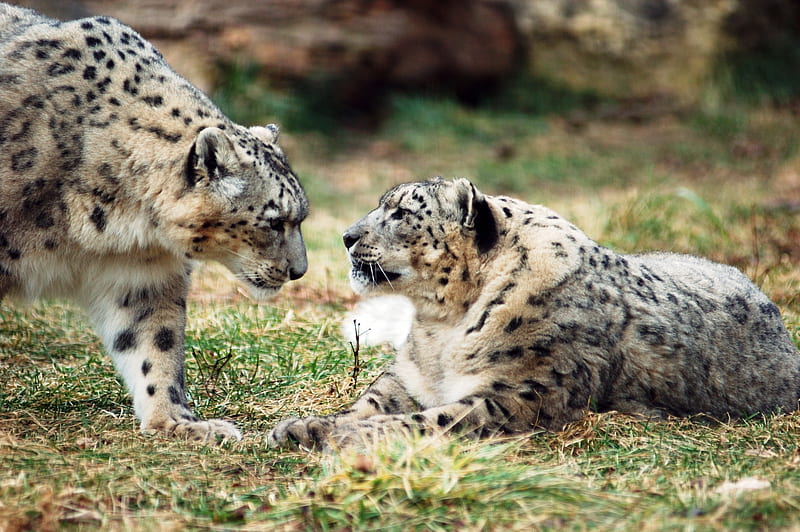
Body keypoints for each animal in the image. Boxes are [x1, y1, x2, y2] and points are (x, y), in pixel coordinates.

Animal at [0, 4, 310, 442]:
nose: (299, 271)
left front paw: (178, 423)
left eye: (300, 216)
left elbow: (154, 342)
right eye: (274, 221)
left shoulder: (143, 271)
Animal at [268, 179, 800, 448]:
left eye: (401, 213)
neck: (441, 327)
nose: (346, 236)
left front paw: (344, 435)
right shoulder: (410, 376)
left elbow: (430, 420)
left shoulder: (520, 392)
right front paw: (305, 425)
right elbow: (376, 399)